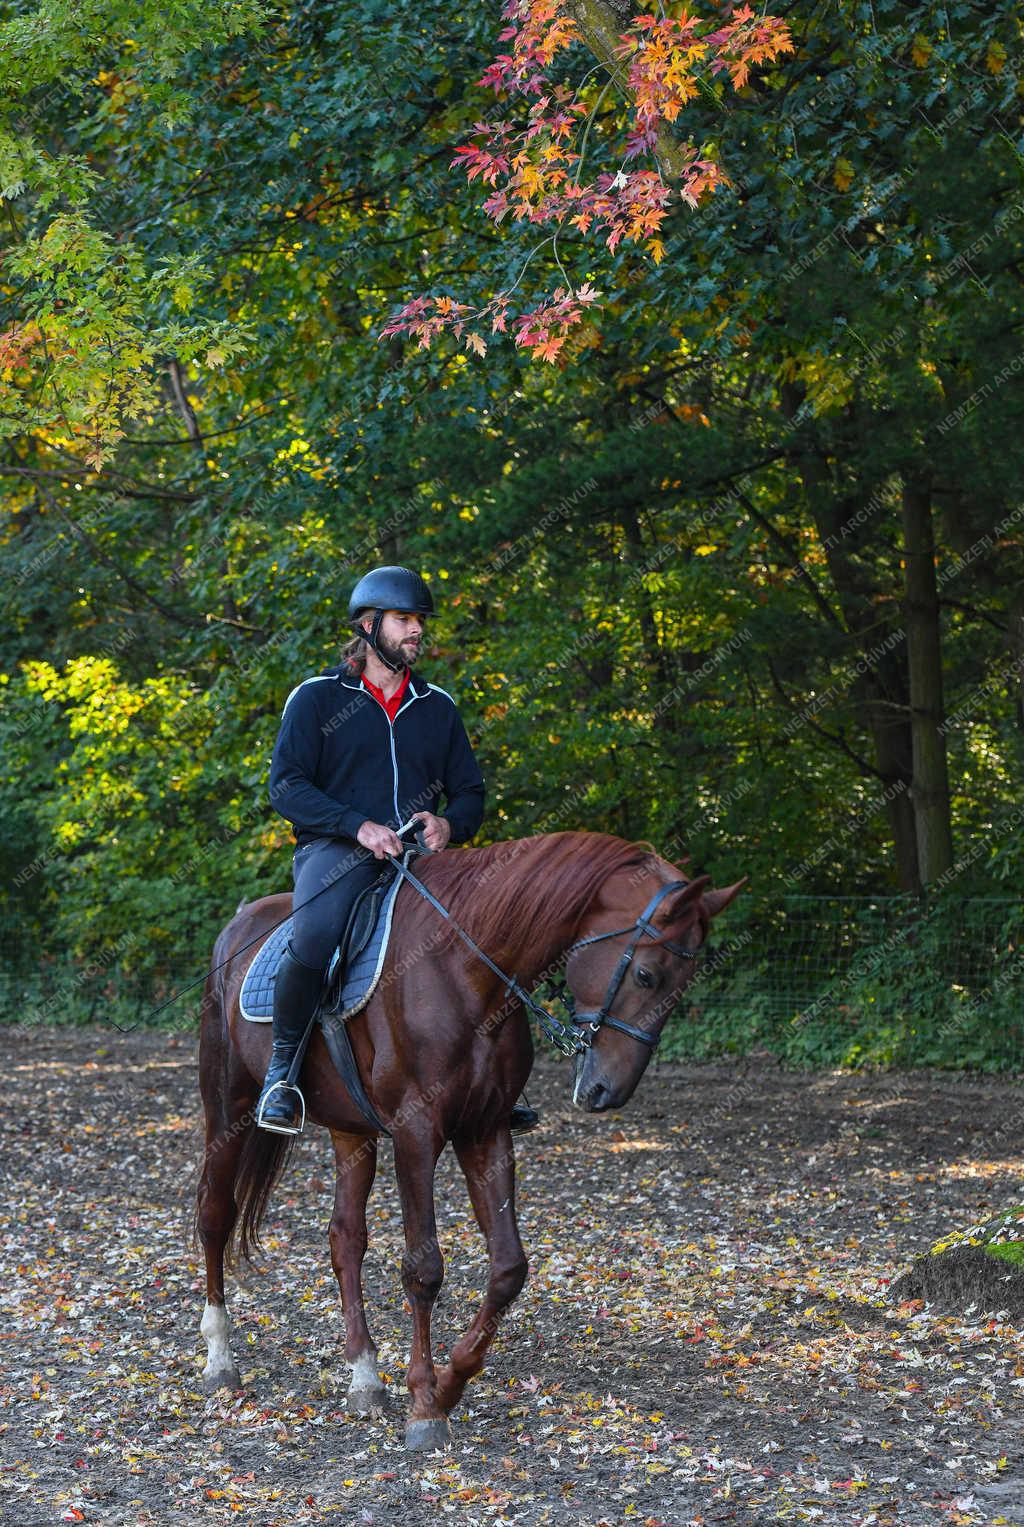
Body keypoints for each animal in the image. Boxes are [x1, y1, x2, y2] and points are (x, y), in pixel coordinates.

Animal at [196, 830, 741, 1447]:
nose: (608, 1089)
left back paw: (364, 1378)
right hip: (228, 1104)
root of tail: (241, 921)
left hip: (350, 1129)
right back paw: (220, 1361)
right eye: (647, 975)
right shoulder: (416, 1133)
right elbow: (423, 1268)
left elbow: (508, 1267)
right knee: (215, 1215)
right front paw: (424, 1408)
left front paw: (452, 1381)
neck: (464, 972)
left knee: (345, 1239)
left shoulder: (486, 1130)